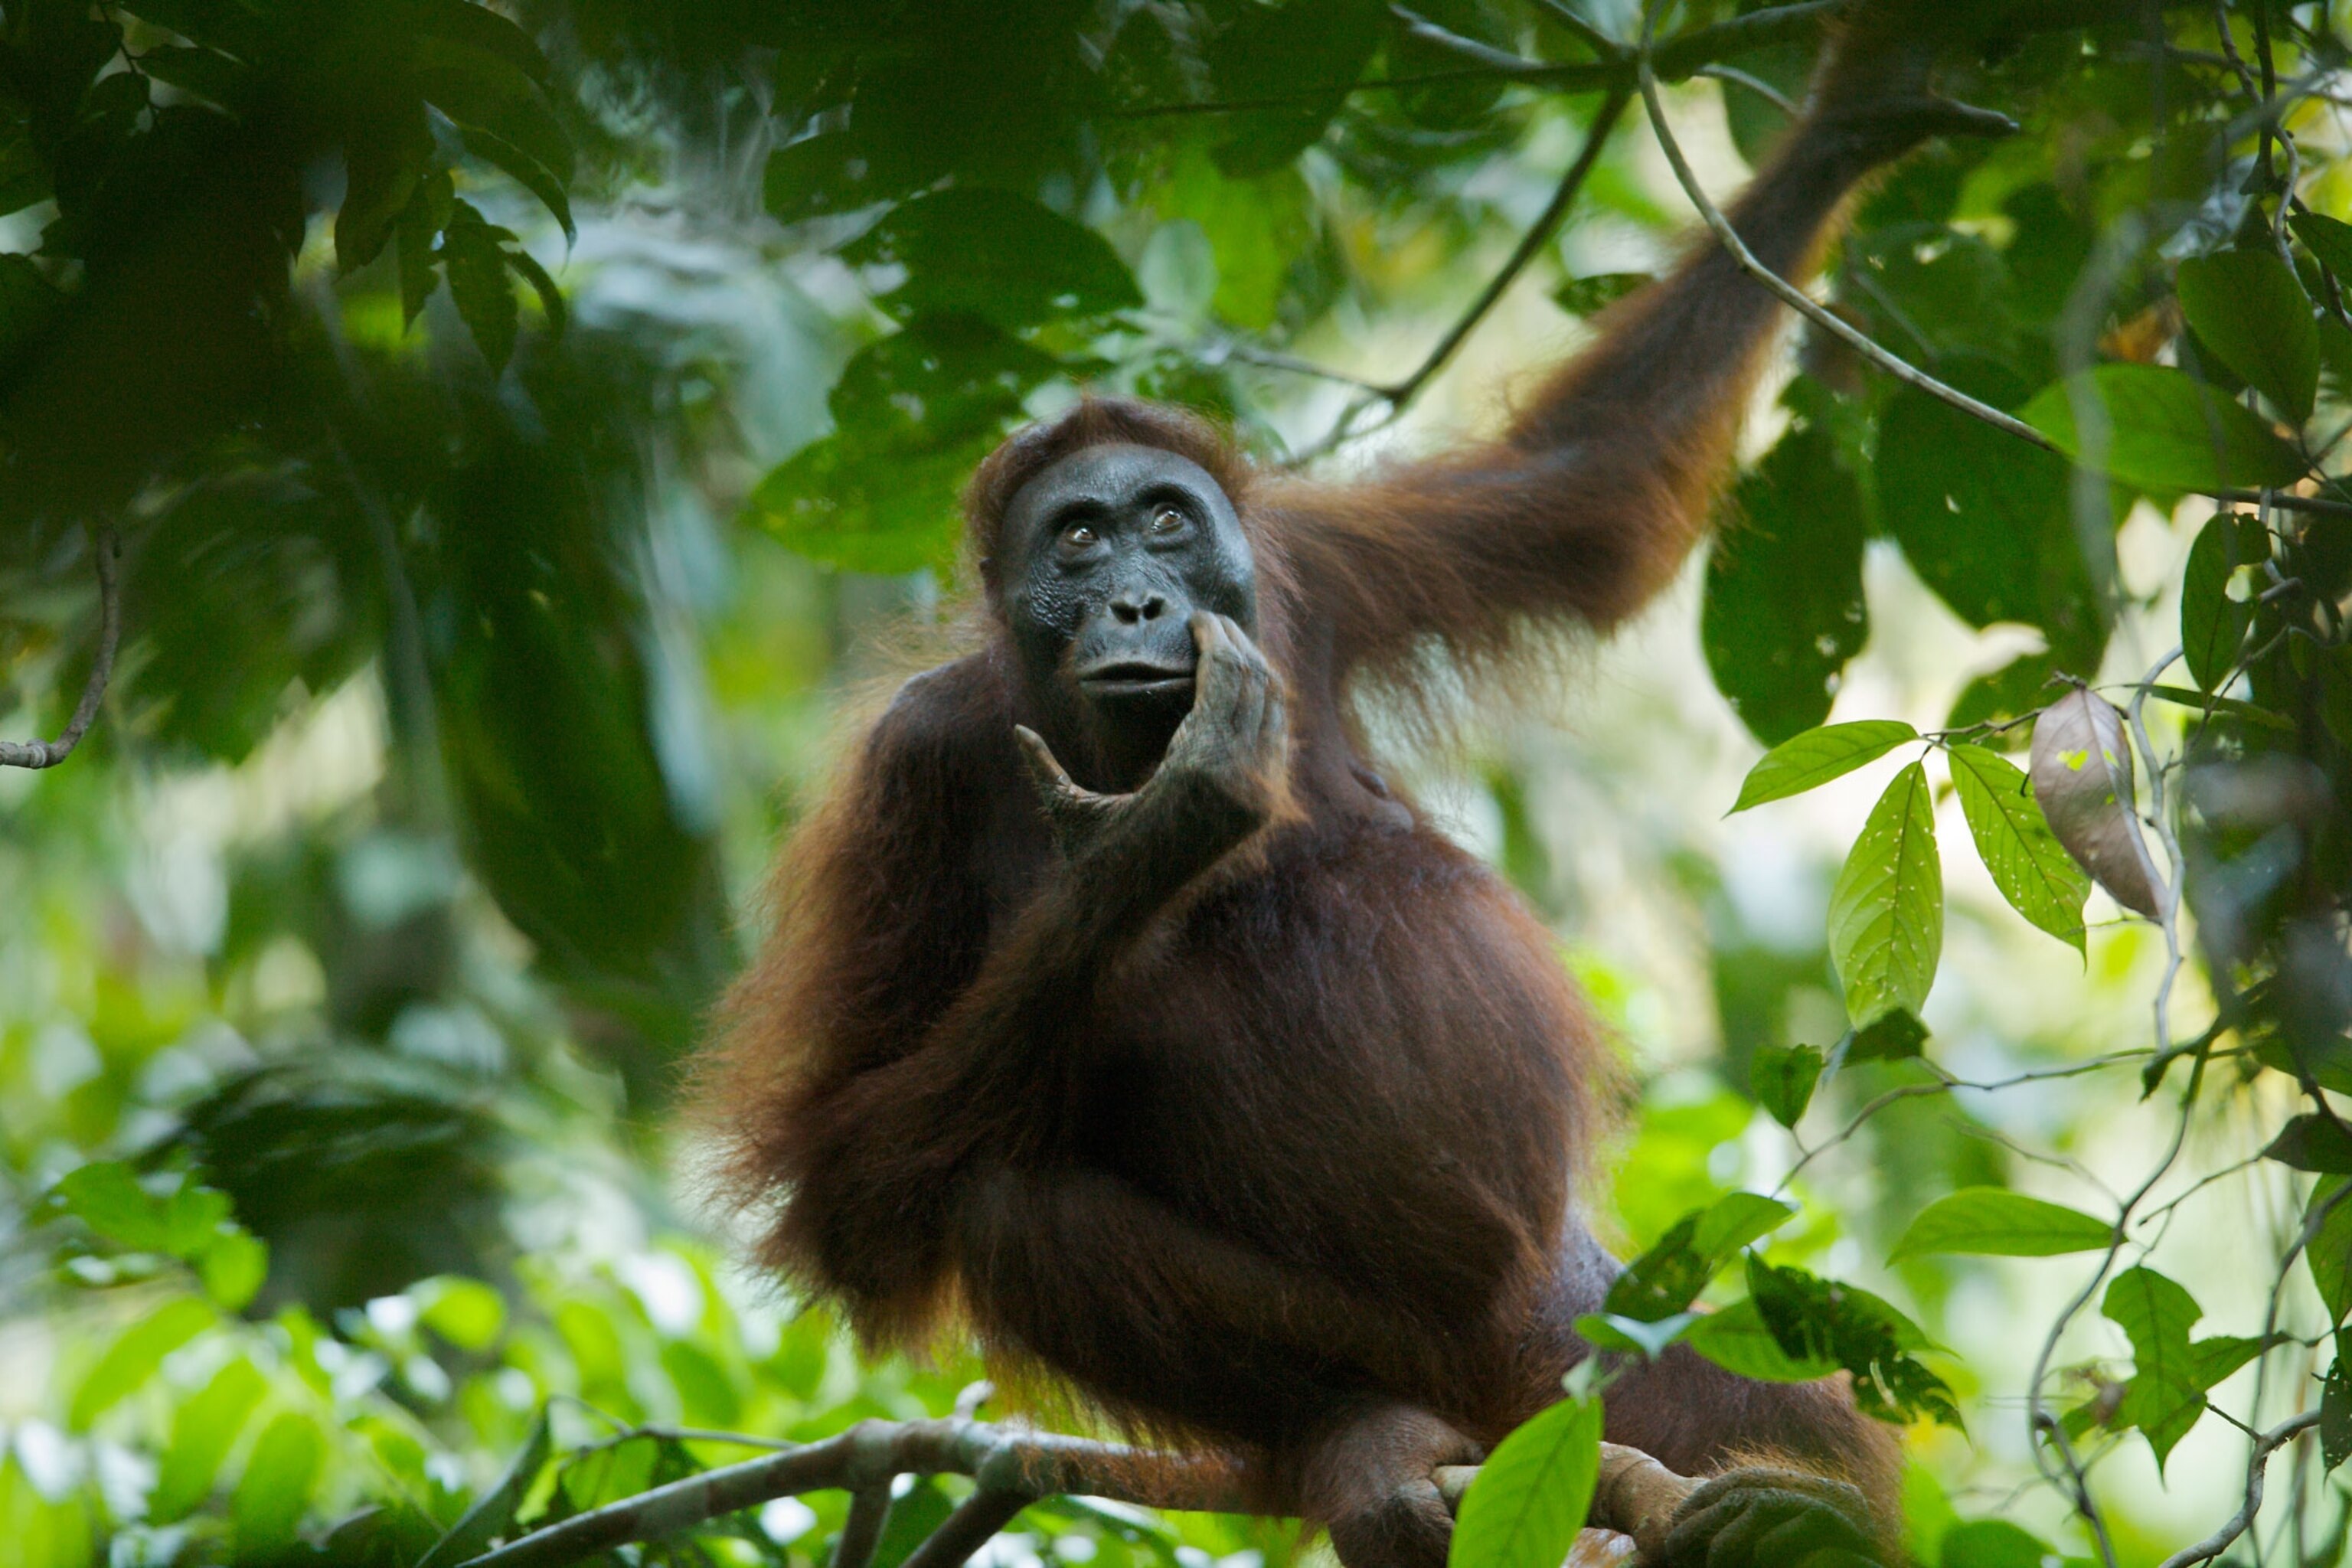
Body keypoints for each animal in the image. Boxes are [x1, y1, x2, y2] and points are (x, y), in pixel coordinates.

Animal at [703, 6, 2014, 1566]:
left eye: (1166, 522)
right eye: (1076, 540)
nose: (1140, 600)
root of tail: (1509, 1401)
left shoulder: (1317, 567)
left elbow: (1576, 498)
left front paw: (1867, 103)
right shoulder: (904, 773)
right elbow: (844, 1174)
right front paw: (1156, 840)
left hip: (1597, 1336)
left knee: (1786, 1394)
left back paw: (1791, 1507)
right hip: (1436, 1358)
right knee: (1012, 1209)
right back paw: (1364, 1442)